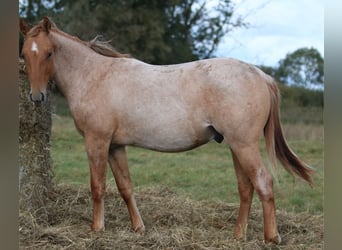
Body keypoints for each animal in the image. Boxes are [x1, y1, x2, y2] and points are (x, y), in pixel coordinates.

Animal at [18, 16, 312, 243]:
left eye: (48, 53)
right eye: (25, 53)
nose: (36, 97)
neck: (94, 76)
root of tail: (261, 76)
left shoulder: (97, 142)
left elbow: (98, 186)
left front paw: (96, 228)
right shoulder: (116, 146)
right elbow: (125, 187)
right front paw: (138, 227)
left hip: (244, 145)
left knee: (263, 182)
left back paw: (271, 237)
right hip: (236, 146)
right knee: (245, 188)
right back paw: (238, 235)